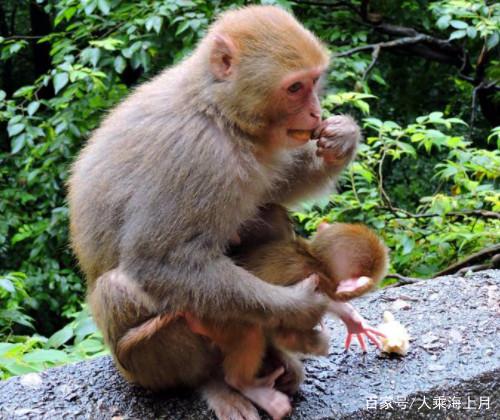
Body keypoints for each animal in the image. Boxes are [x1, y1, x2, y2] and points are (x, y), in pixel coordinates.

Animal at [69, 4, 360, 420]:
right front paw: (299, 305)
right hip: (136, 364)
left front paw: (341, 139)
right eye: (294, 88)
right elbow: (158, 261)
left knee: (269, 213)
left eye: (314, 81)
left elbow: (273, 187)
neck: (218, 111)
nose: (315, 113)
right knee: (121, 287)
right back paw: (218, 383)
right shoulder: (197, 155)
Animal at [186, 208, 388, 420]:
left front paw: (353, 321)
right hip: (217, 322)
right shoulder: (309, 279)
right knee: (251, 330)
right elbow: (284, 332)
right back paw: (244, 383)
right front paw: (321, 343)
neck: (312, 259)